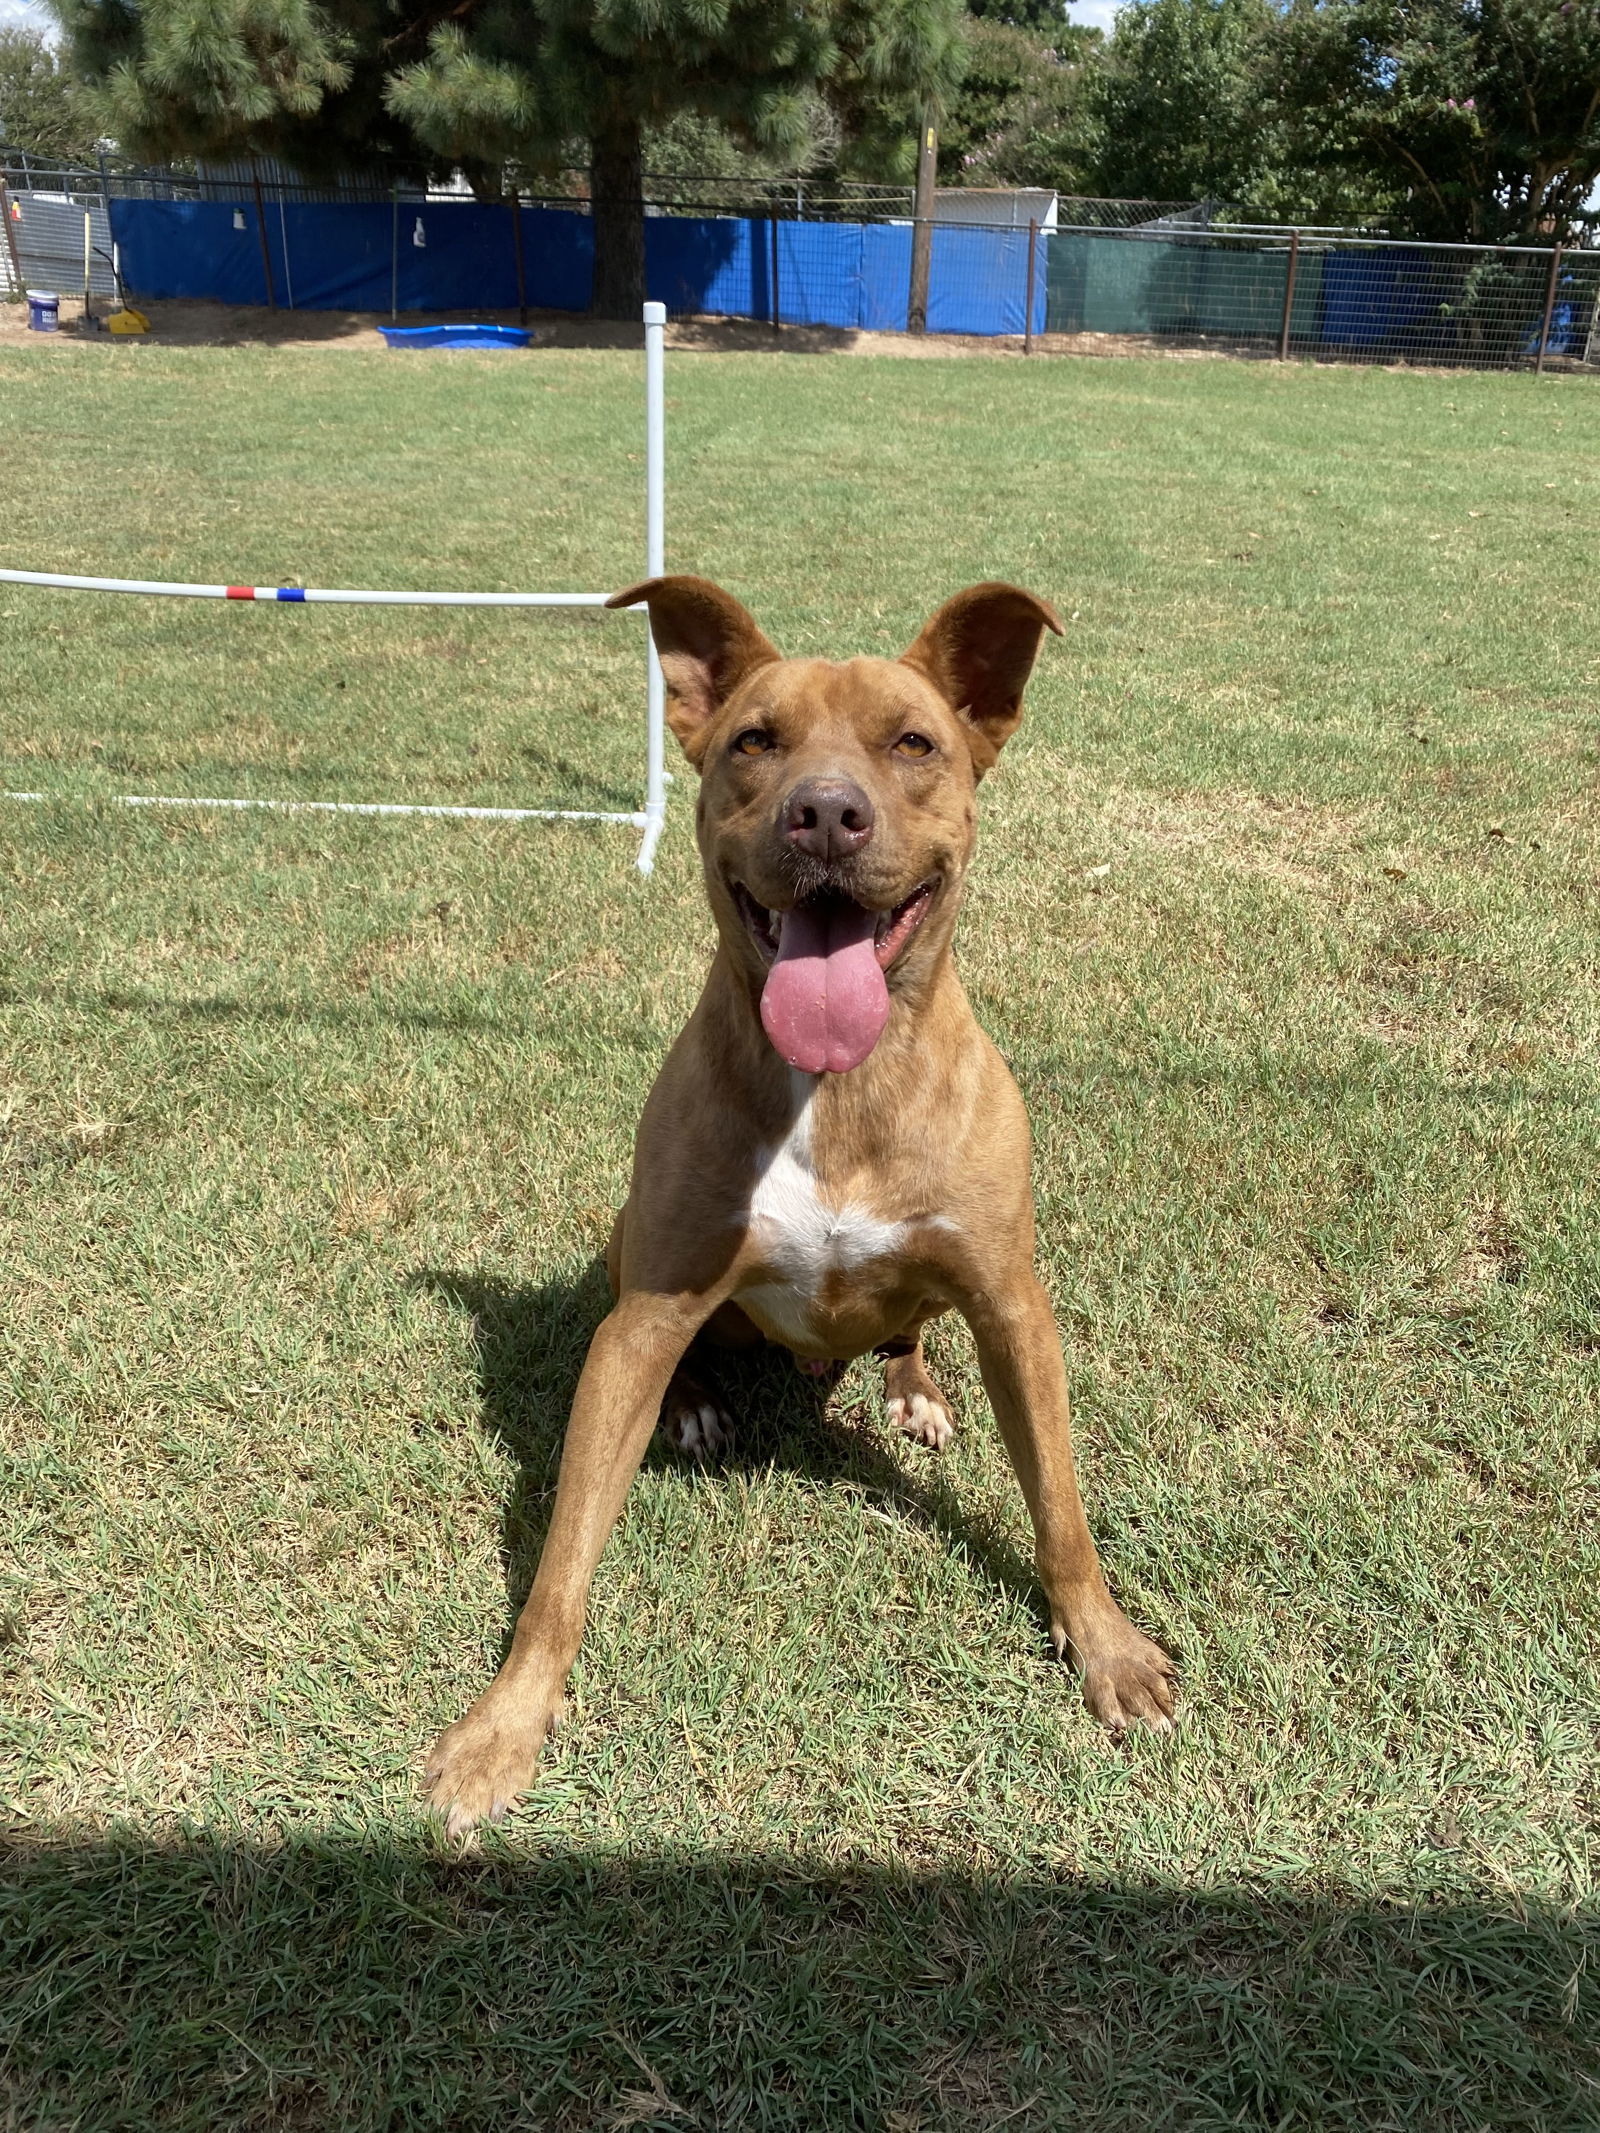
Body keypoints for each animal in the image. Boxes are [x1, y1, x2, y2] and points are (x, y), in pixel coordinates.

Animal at [426, 580, 1177, 1834]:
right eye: (753, 741)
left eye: (913, 743)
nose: (825, 815)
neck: (838, 1089)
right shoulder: (644, 1314)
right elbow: (561, 1563)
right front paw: (504, 1727)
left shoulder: (1015, 1304)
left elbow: (1061, 1506)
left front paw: (1108, 1651)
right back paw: (697, 1404)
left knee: (908, 1330)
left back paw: (912, 1388)